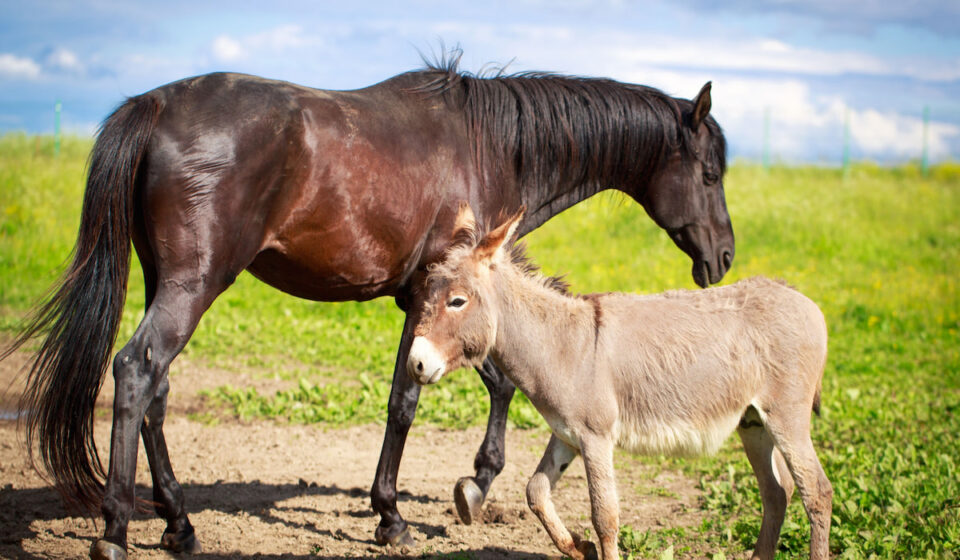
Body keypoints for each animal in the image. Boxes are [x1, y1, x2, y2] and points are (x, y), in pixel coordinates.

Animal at [4, 54, 734, 559]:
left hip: (171, 285)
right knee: (135, 371)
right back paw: (116, 528)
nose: (724, 257)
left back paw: (179, 524)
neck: (489, 144)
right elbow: (413, 399)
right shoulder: (430, 297)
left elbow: (491, 381)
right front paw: (402, 512)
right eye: (708, 173)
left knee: (155, 389)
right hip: (192, 287)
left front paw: (470, 487)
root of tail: (154, 104)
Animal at [406, 206, 831, 560]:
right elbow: (536, 491)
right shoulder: (566, 434)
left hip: (786, 417)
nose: (416, 364)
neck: (562, 343)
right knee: (777, 493)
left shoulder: (596, 437)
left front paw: (591, 544)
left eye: (457, 301)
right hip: (752, 423)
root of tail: (802, 297)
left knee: (817, 491)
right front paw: (578, 548)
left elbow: (605, 516)